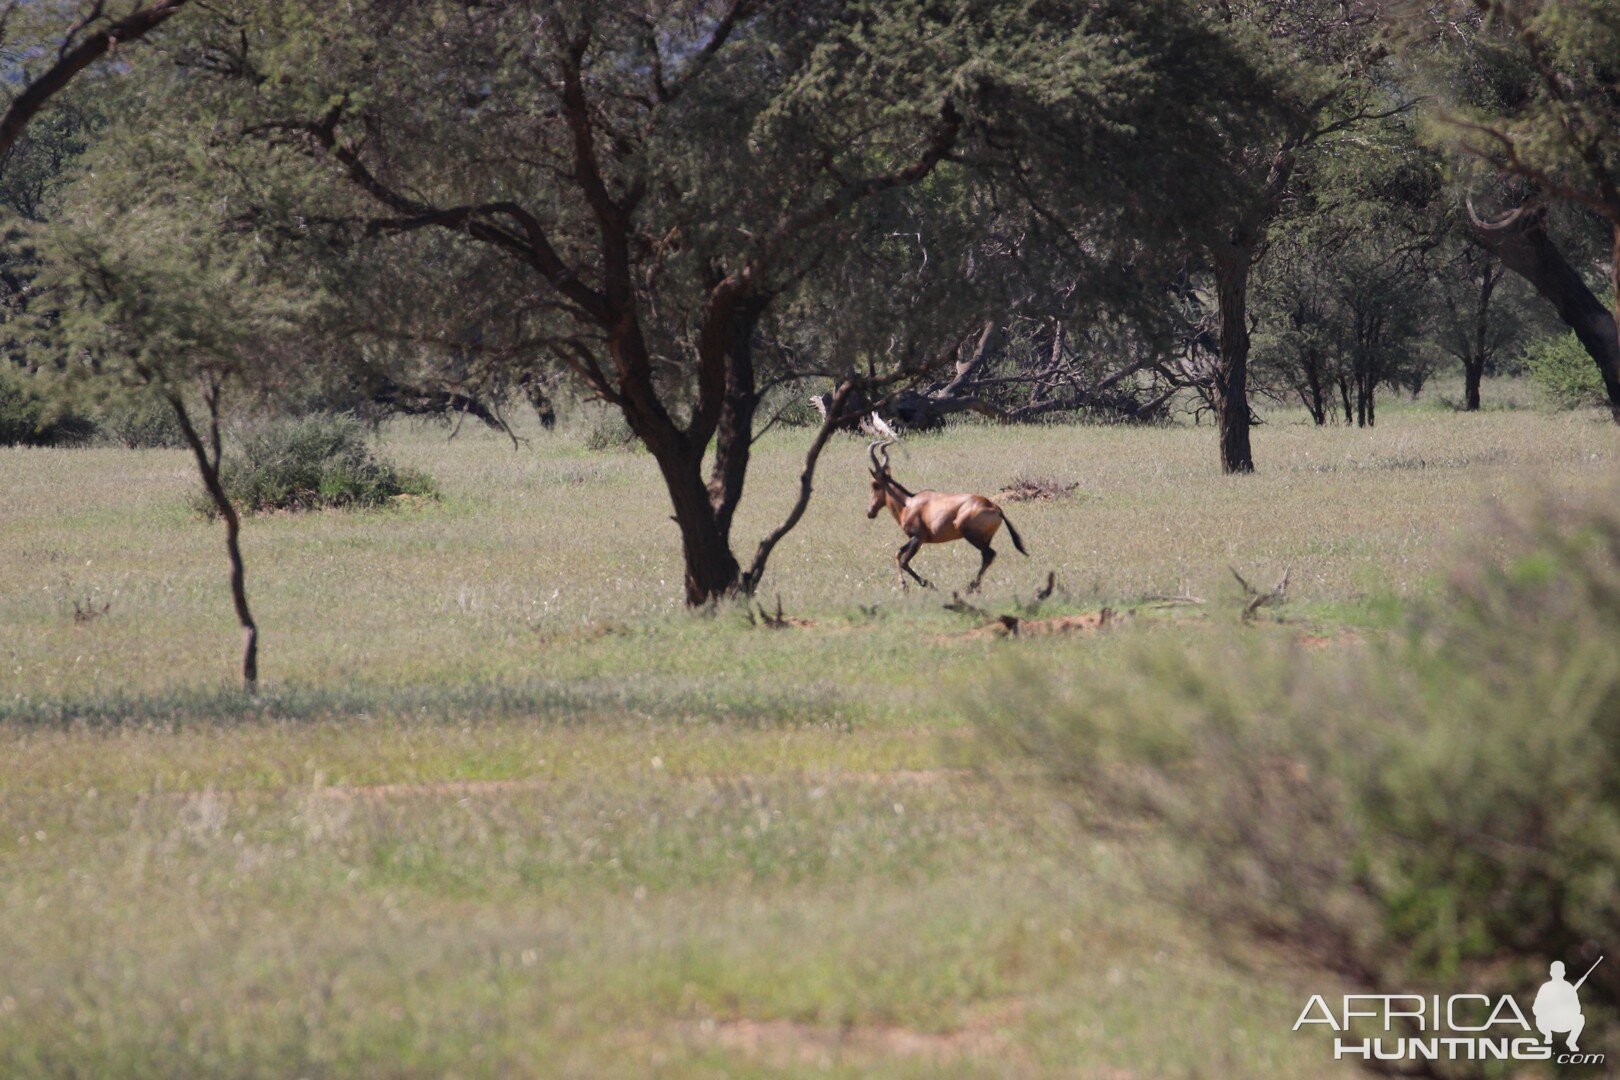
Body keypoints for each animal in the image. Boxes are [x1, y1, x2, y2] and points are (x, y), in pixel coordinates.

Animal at [874, 440, 1023, 592]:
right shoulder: (915, 538)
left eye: (875, 485)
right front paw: (903, 584)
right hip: (985, 538)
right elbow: (897, 553)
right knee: (986, 557)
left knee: (989, 554)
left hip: (971, 535)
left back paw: (970, 587)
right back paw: (976, 588)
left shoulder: (918, 538)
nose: (870, 512)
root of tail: (995, 507)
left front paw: (926, 584)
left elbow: (904, 561)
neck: (909, 502)